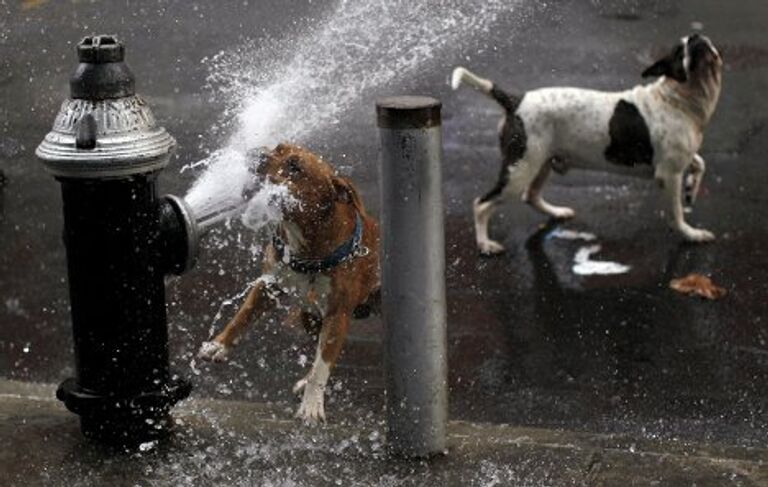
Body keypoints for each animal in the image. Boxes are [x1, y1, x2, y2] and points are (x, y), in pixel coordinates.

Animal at [196, 144, 380, 424]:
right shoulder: (268, 286)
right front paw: (219, 345)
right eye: (276, 148)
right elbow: (242, 315)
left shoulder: (337, 314)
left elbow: (322, 366)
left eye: (295, 167)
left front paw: (312, 406)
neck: (306, 246)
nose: (256, 154)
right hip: (310, 318)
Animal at [450, 34, 720, 255]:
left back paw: (557, 212)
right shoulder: (669, 174)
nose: (696, 37)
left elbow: (700, 162)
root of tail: (515, 101)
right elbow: (676, 213)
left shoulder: (680, 159)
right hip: (519, 172)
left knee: (531, 195)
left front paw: (691, 188)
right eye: (680, 51)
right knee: (481, 204)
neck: (679, 98)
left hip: (539, 163)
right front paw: (691, 234)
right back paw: (485, 244)